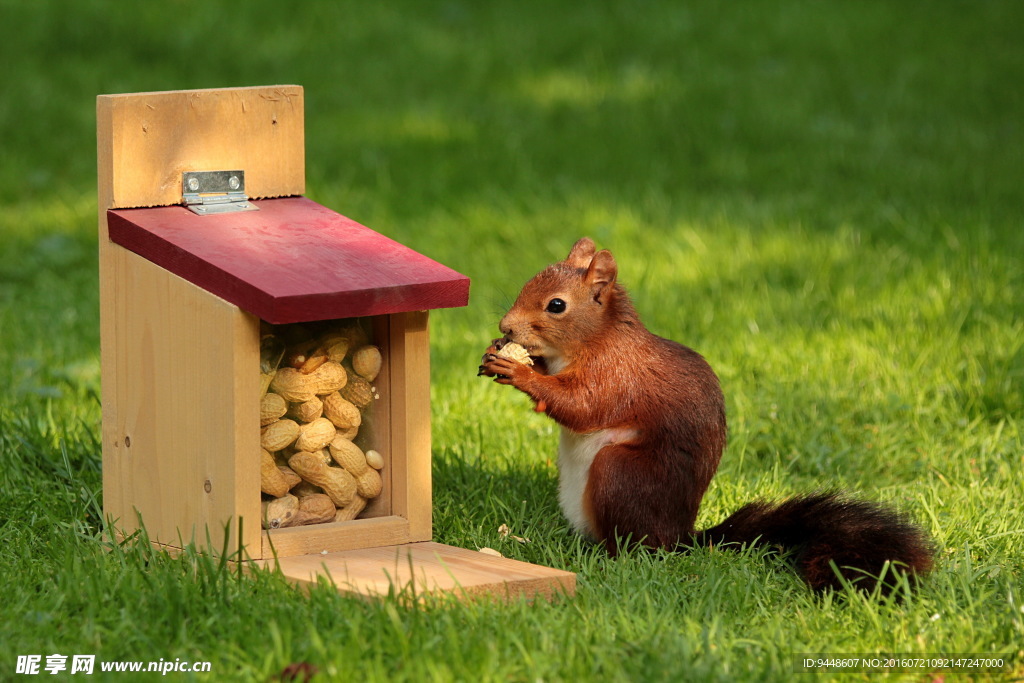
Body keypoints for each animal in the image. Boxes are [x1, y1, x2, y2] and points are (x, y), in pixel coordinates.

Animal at [479, 237, 937, 589]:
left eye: (556, 306)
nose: (505, 327)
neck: (594, 340)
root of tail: (681, 537)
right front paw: (501, 356)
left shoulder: (616, 375)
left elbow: (581, 406)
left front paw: (519, 371)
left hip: (620, 474)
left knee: (635, 546)